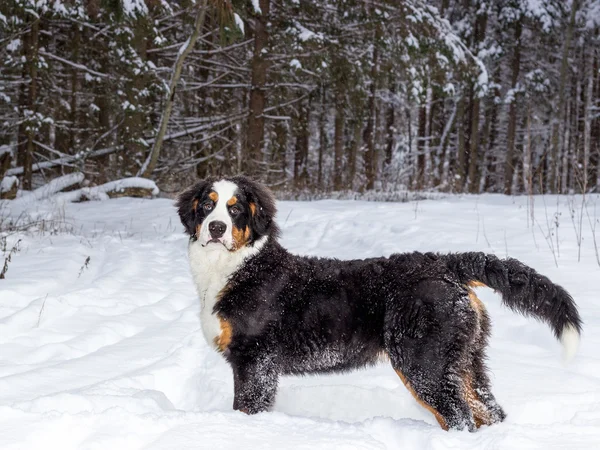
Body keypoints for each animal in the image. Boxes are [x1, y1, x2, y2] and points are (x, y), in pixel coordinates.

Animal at [175, 176, 580, 432]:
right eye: (208, 205)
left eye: (236, 210)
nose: (216, 229)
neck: (237, 267)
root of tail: (444, 262)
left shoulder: (255, 361)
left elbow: (246, 408)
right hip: (465, 361)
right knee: (488, 411)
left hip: (424, 363)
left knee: (460, 418)